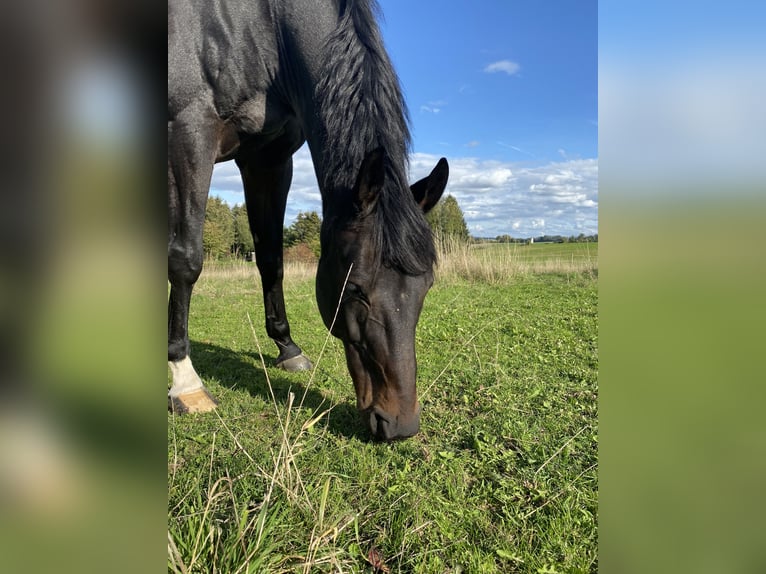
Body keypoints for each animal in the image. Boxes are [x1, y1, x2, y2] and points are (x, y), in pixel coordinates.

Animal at [165, 0, 448, 440]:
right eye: (355, 290)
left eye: (427, 286)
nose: (399, 424)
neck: (258, 26)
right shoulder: (189, 132)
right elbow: (186, 260)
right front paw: (185, 382)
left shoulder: (268, 158)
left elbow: (271, 259)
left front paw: (288, 349)